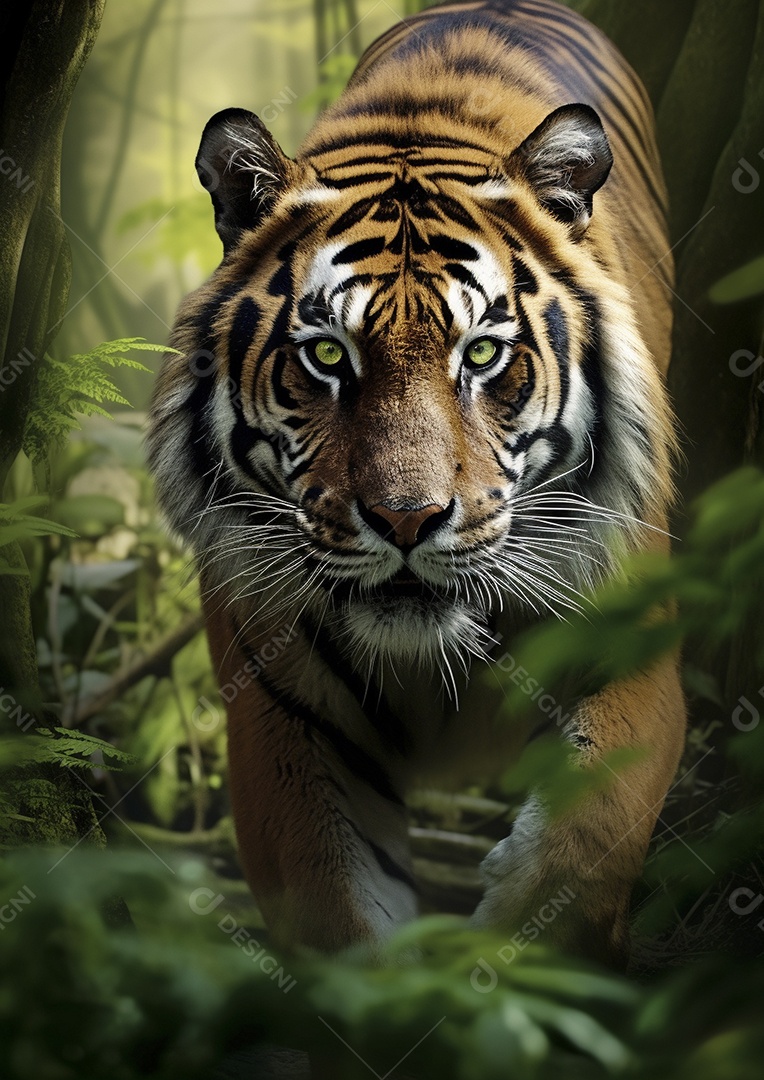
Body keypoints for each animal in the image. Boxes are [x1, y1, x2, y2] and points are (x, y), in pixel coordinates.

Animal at [147, 0, 686, 968]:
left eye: (483, 354)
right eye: (327, 356)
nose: (407, 521)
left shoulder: (635, 661)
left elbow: (581, 852)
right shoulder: (282, 719)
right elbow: (340, 926)